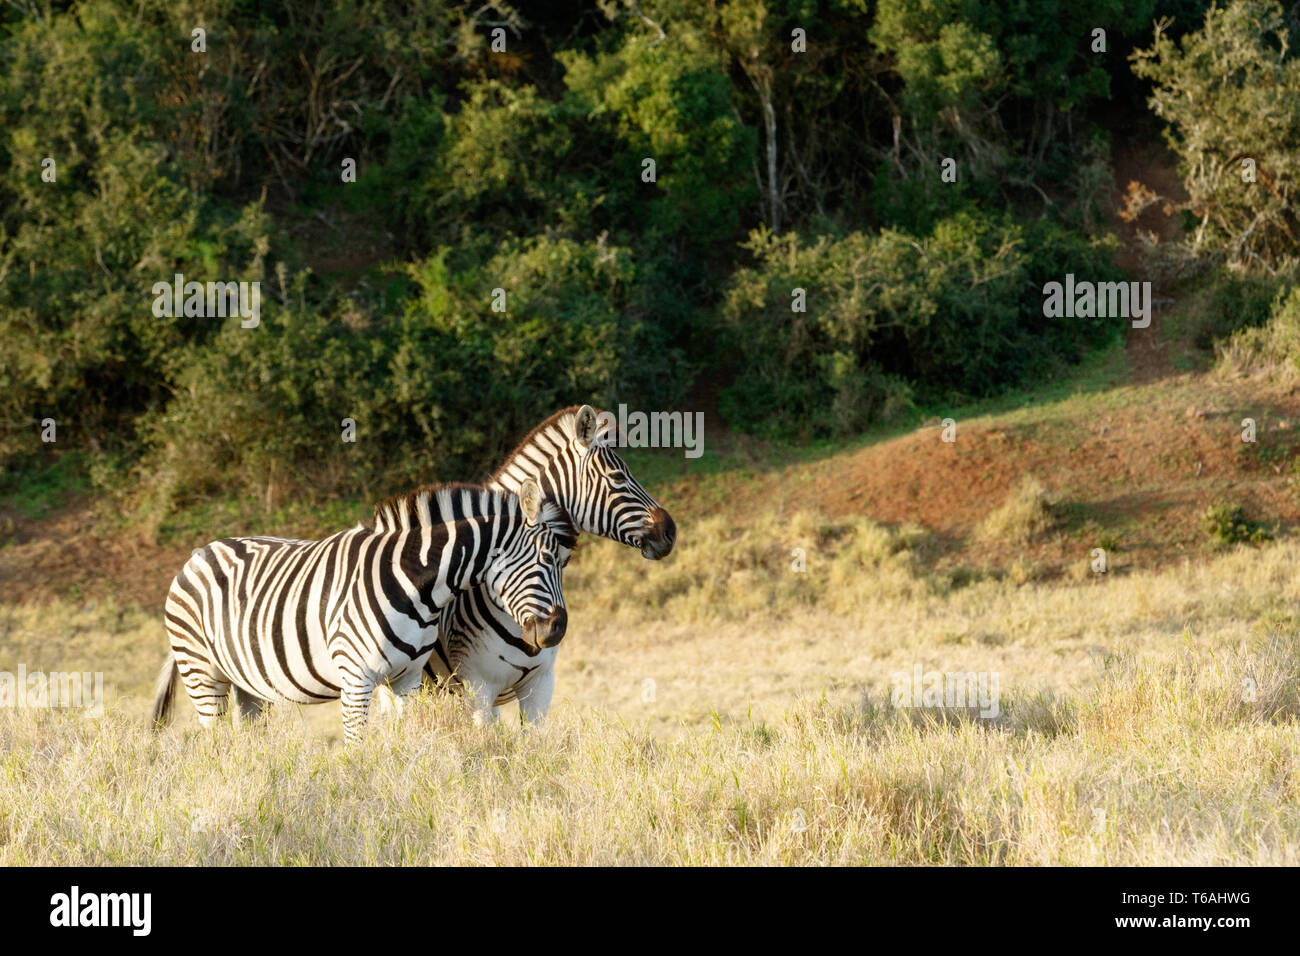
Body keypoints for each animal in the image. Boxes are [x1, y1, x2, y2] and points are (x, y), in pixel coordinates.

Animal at [150, 478, 569, 738]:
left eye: (563, 560)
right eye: (547, 559)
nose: (558, 630)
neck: (416, 583)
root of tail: (199, 552)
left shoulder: (406, 680)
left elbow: (400, 740)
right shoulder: (356, 677)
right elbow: (356, 746)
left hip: (245, 680)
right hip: (201, 671)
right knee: (216, 741)